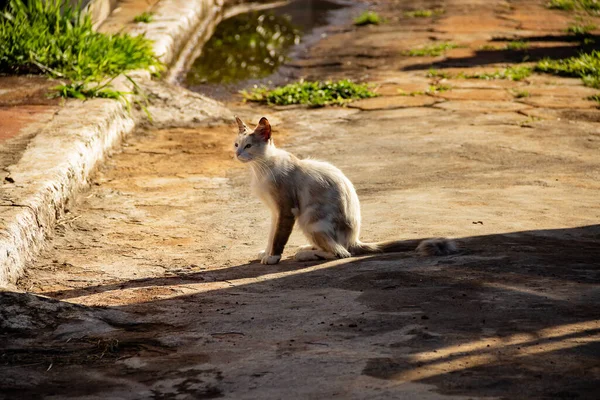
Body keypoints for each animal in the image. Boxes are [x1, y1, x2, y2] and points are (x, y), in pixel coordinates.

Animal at [233, 115, 454, 266]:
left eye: (249, 146)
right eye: (236, 144)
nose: (237, 154)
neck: (260, 169)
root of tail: (354, 239)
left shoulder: (286, 210)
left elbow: (279, 237)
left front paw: (273, 257)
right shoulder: (275, 211)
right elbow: (272, 234)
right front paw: (266, 253)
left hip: (308, 219)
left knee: (342, 253)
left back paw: (305, 254)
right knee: (338, 249)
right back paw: (308, 247)